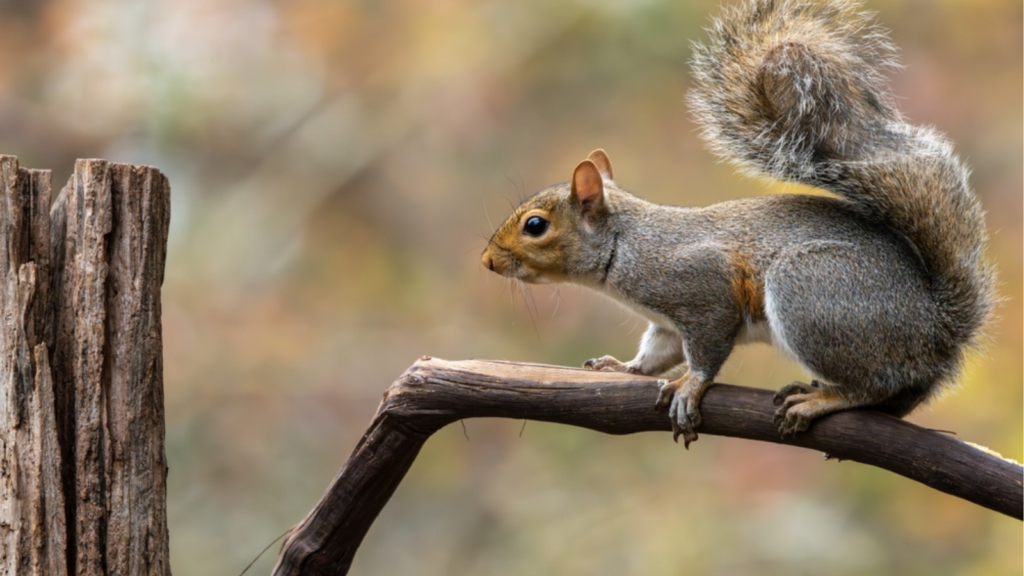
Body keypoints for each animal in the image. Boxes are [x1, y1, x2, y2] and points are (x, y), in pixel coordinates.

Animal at [480, 0, 997, 447]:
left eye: (535, 225)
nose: (486, 261)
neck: (624, 247)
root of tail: (936, 329)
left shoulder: (700, 285)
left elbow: (707, 347)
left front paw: (690, 387)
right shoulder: (668, 323)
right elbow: (657, 352)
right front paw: (624, 369)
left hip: (811, 289)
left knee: (871, 385)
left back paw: (821, 399)